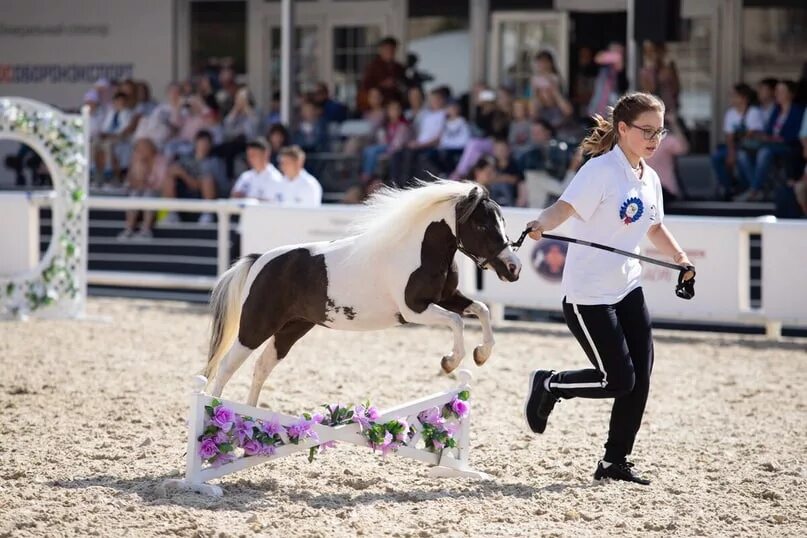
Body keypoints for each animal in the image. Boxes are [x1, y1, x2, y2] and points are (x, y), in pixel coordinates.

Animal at [202, 180, 524, 402]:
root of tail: (260, 261)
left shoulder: (447, 299)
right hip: (255, 328)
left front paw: (481, 354)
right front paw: (450, 362)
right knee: (226, 366)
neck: (420, 250)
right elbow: (457, 321)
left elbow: (481, 310)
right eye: (481, 226)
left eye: (502, 222)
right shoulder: (415, 310)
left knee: (262, 367)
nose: (513, 268)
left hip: (292, 328)